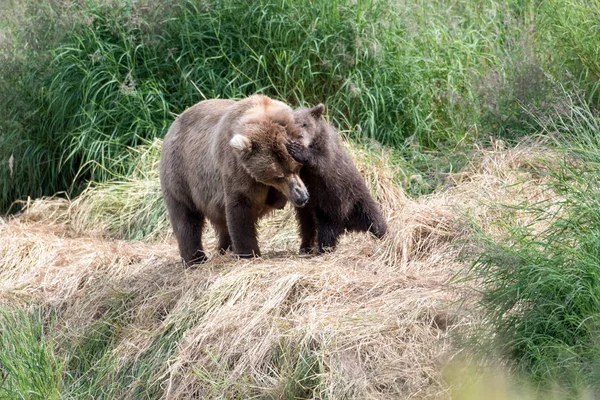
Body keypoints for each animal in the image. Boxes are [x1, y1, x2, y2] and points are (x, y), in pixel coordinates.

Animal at [159, 94, 310, 266]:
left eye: (296, 167)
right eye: (278, 176)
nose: (302, 196)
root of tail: (173, 124)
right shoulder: (237, 171)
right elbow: (240, 209)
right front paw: (249, 253)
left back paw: (224, 248)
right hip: (181, 175)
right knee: (186, 217)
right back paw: (195, 258)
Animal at [284, 104, 386, 253]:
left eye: (305, 123)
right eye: (290, 126)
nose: (299, 137)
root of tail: (347, 225)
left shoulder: (328, 153)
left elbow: (322, 161)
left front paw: (298, 150)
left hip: (357, 199)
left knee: (374, 219)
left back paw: (384, 234)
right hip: (322, 212)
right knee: (314, 228)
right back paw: (312, 247)